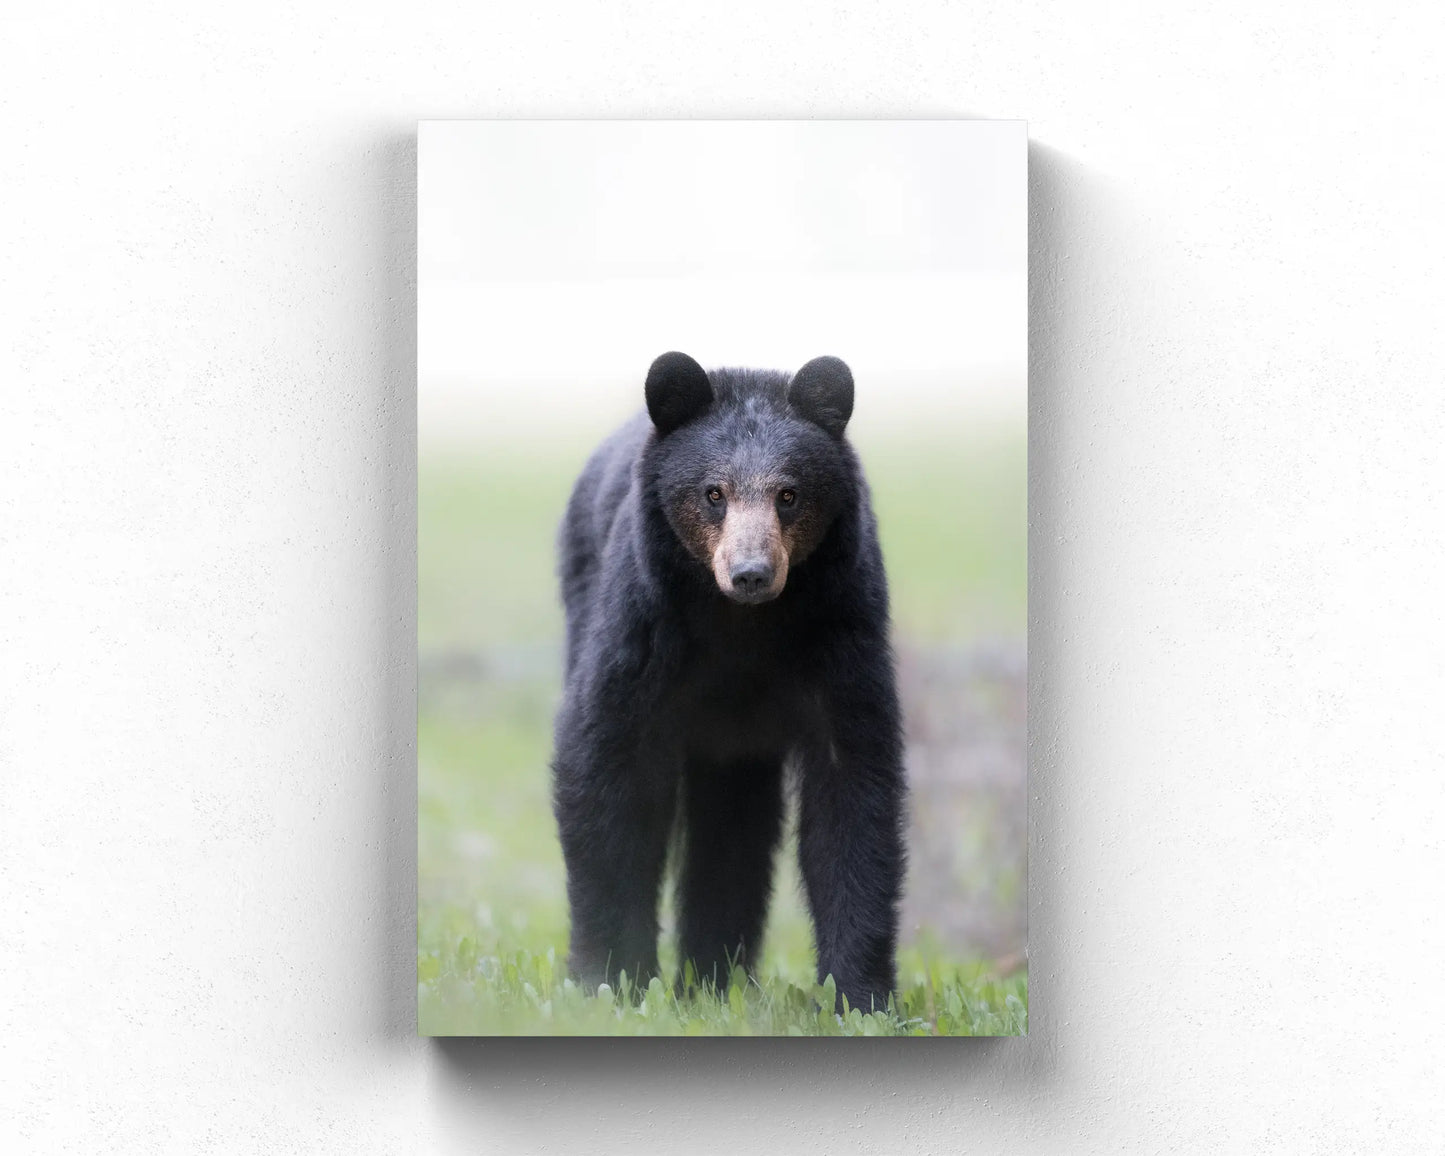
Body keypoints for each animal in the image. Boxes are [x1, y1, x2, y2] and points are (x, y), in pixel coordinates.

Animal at [550, 351, 905, 1014]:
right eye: (713, 493)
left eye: (789, 495)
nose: (751, 573)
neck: (742, 626)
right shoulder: (641, 628)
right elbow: (606, 767)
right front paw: (609, 978)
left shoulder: (843, 629)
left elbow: (854, 791)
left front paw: (860, 997)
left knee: (735, 830)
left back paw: (713, 980)